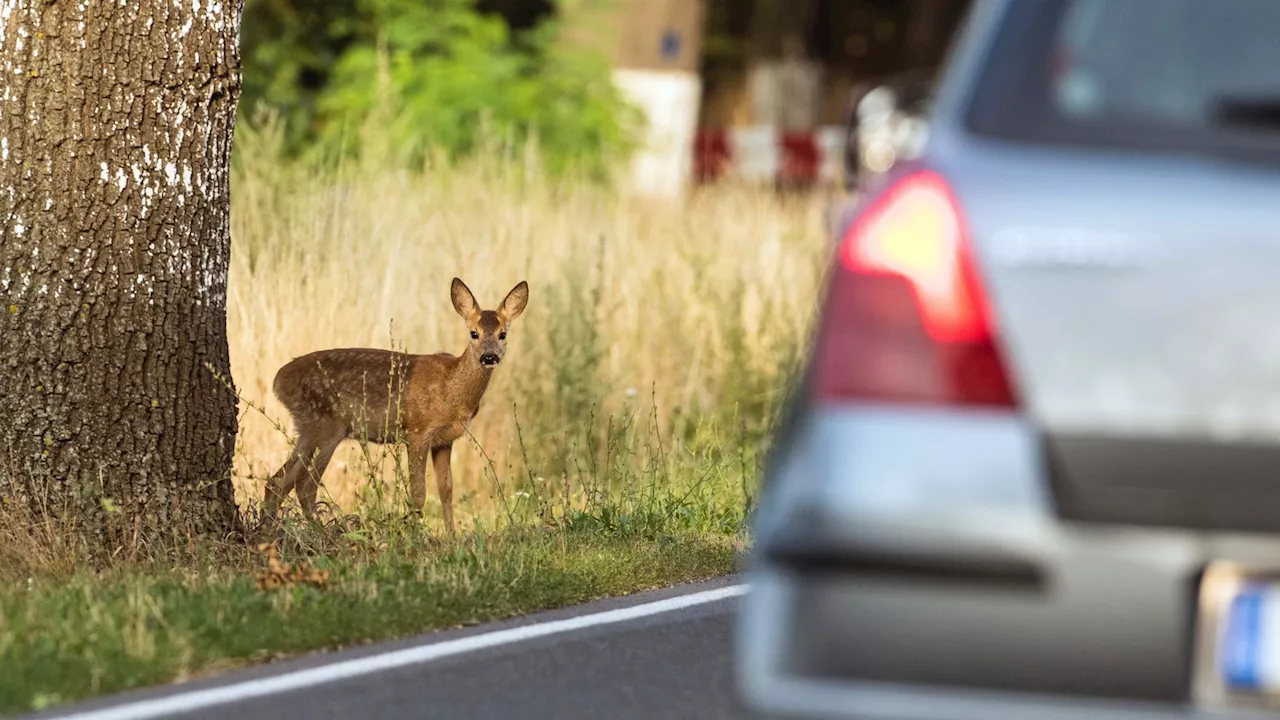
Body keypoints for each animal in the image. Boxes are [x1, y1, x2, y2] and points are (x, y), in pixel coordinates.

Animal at [262, 275, 527, 532]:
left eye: (503, 334)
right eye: (474, 333)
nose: (489, 357)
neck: (452, 389)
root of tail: (279, 381)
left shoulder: (445, 440)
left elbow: (446, 491)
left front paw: (452, 537)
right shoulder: (417, 431)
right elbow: (419, 494)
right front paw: (417, 536)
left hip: (308, 428)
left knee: (278, 481)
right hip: (325, 426)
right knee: (305, 485)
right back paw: (320, 531)